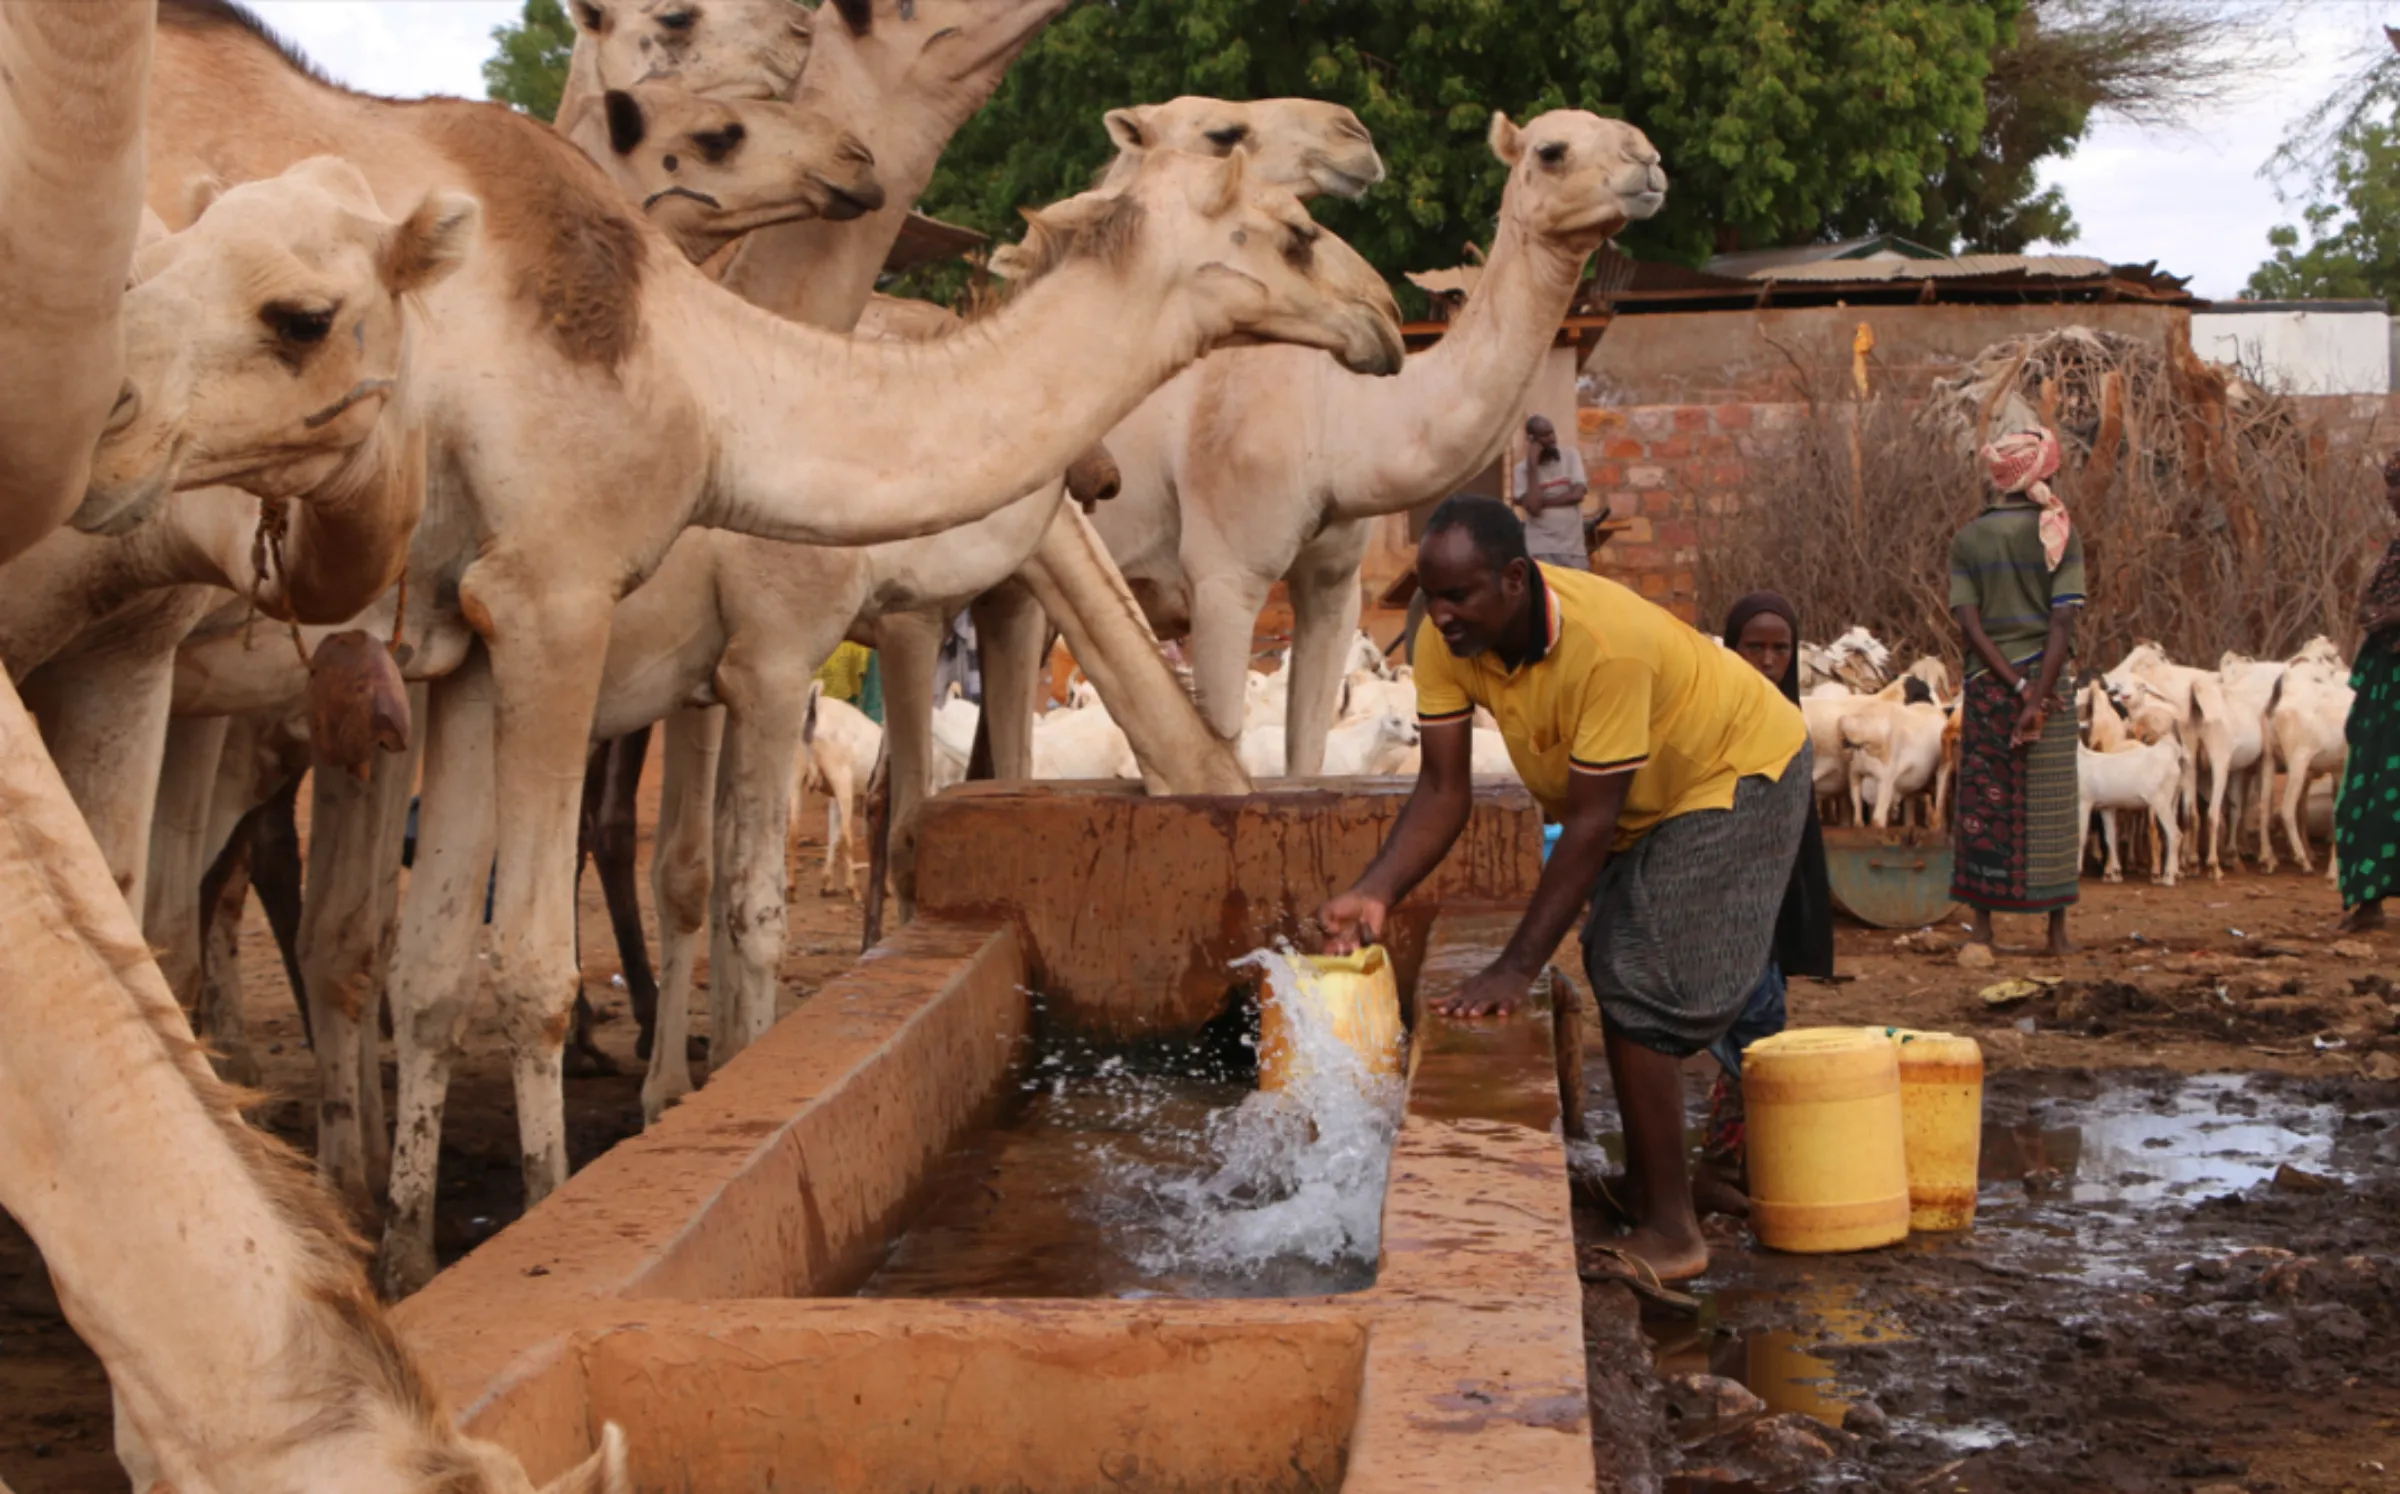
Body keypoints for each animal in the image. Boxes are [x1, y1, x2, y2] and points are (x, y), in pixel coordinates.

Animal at [140, 0, 1401, 1297]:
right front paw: (581, 1191)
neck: (713, 389)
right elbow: (661, 929)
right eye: (1290, 223)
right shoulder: (626, 618)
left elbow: (450, 957)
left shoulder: (485, 646)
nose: (1383, 315)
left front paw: (411, 1251)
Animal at [1041, 111, 1660, 778]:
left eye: (1626, 128)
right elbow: (1225, 744)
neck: (1337, 421)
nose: (1648, 163)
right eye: (1551, 151)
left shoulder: (1335, 584)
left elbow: (1308, 757)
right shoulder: (1224, 578)